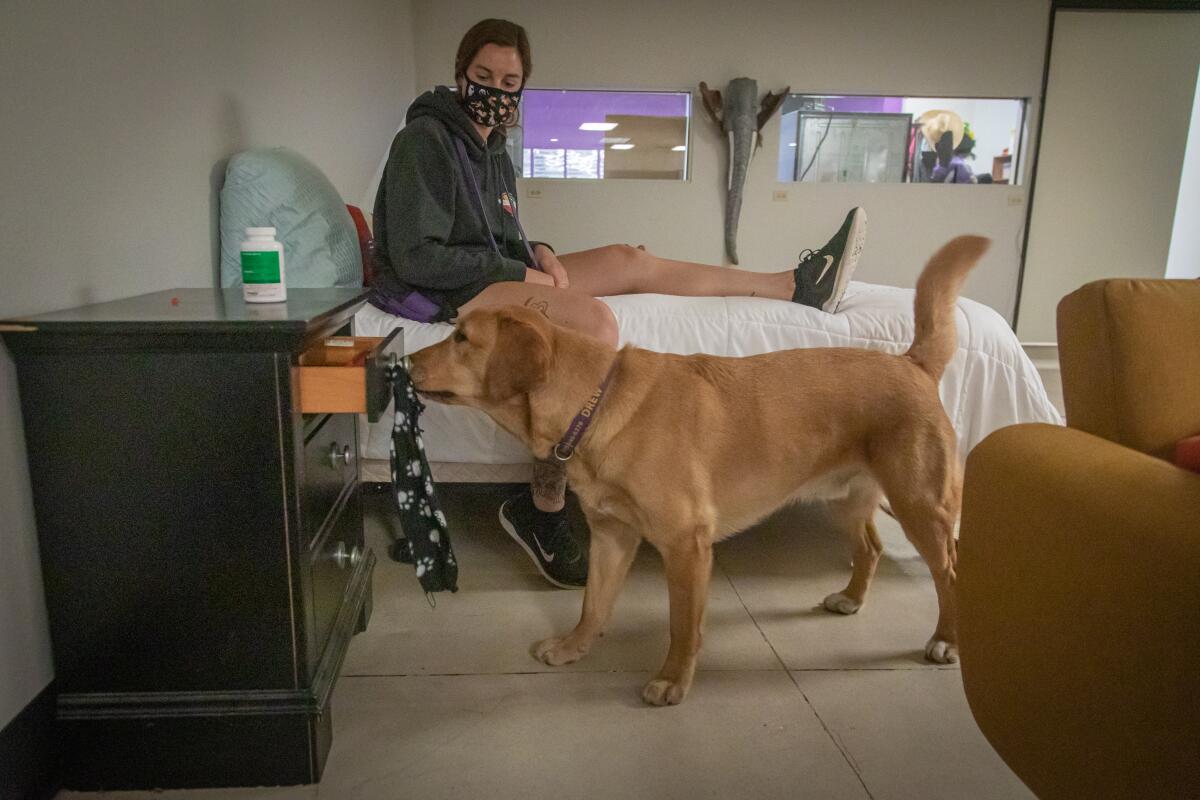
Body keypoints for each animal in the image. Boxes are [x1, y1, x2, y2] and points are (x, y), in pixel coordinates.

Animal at [408, 236, 988, 705]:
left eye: (461, 338)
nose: (406, 361)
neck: (596, 402)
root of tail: (911, 362)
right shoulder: (612, 535)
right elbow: (593, 606)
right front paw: (574, 646)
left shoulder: (686, 545)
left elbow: (682, 627)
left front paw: (672, 679)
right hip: (844, 498)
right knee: (869, 547)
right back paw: (852, 597)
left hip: (920, 505)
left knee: (952, 575)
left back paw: (947, 640)